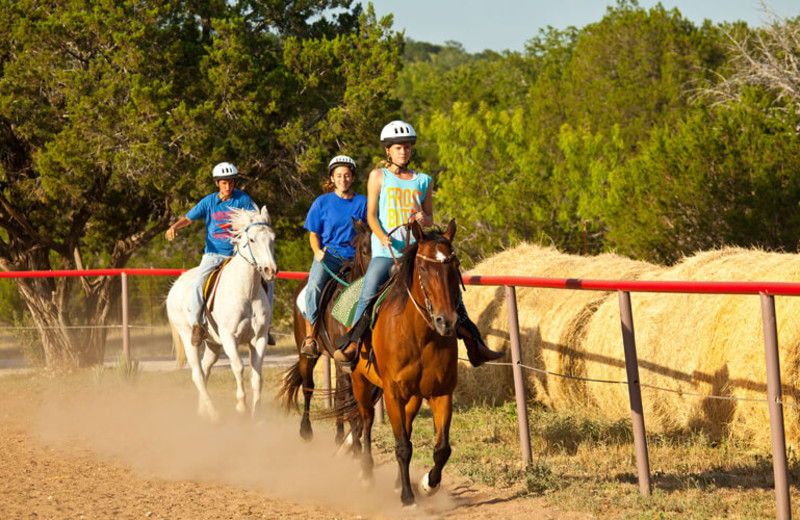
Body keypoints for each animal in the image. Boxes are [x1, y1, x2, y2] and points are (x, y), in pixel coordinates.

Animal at [166, 205, 278, 420]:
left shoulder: (259, 338)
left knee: (205, 369)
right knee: (198, 374)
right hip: (188, 337)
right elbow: (239, 367)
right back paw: (214, 413)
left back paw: (203, 411)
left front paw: (256, 414)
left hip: (213, 344)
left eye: (272, 239)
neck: (247, 291)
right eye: (252, 240)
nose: (270, 270)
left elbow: (257, 375)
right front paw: (241, 406)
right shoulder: (229, 337)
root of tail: (175, 286)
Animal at [278, 217, 372, 444]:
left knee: (337, 394)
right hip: (306, 354)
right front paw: (356, 443)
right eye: (365, 250)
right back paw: (305, 430)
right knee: (308, 386)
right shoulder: (342, 360)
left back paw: (339, 435)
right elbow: (346, 397)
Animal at [340, 220, 462, 508]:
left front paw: (428, 484)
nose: (447, 321)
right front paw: (407, 497)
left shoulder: (441, 393)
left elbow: (442, 448)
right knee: (366, 421)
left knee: (404, 427)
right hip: (361, 383)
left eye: (454, 266)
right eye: (424, 268)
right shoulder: (393, 393)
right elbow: (403, 447)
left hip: (413, 397)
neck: (420, 335)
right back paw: (367, 473)